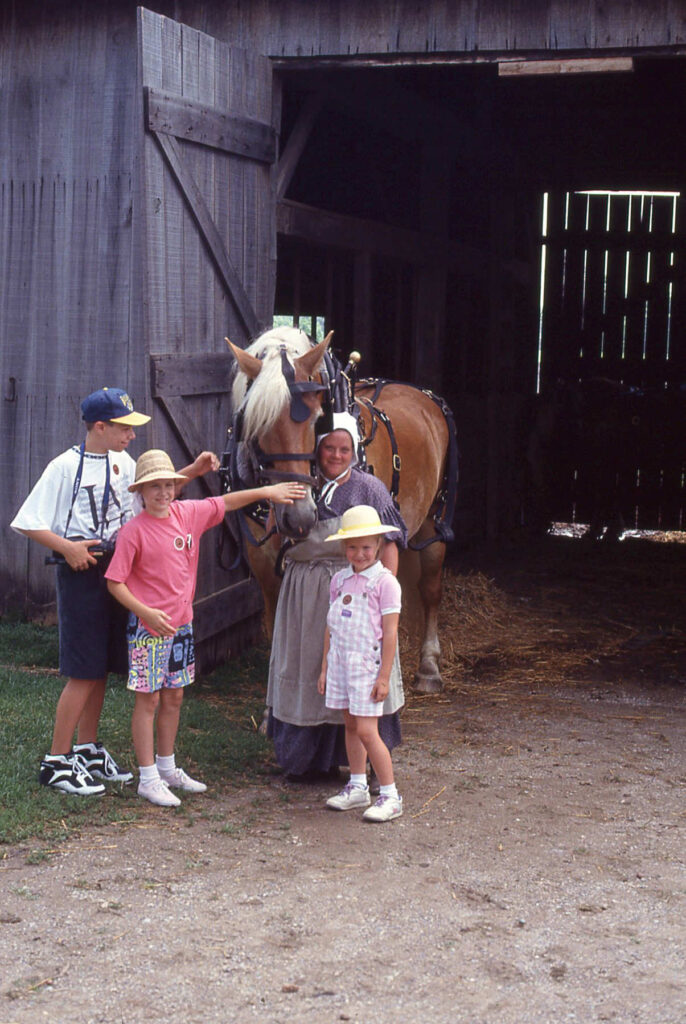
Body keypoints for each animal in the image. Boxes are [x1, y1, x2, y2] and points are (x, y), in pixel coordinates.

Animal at [228, 327, 458, 696]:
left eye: (316, 418)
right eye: (254, 422)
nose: (298, 516)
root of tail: (420, 394)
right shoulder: (261, 556)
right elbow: (275, 619)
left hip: (434, 520)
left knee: (430, 588)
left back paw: (428, 667)